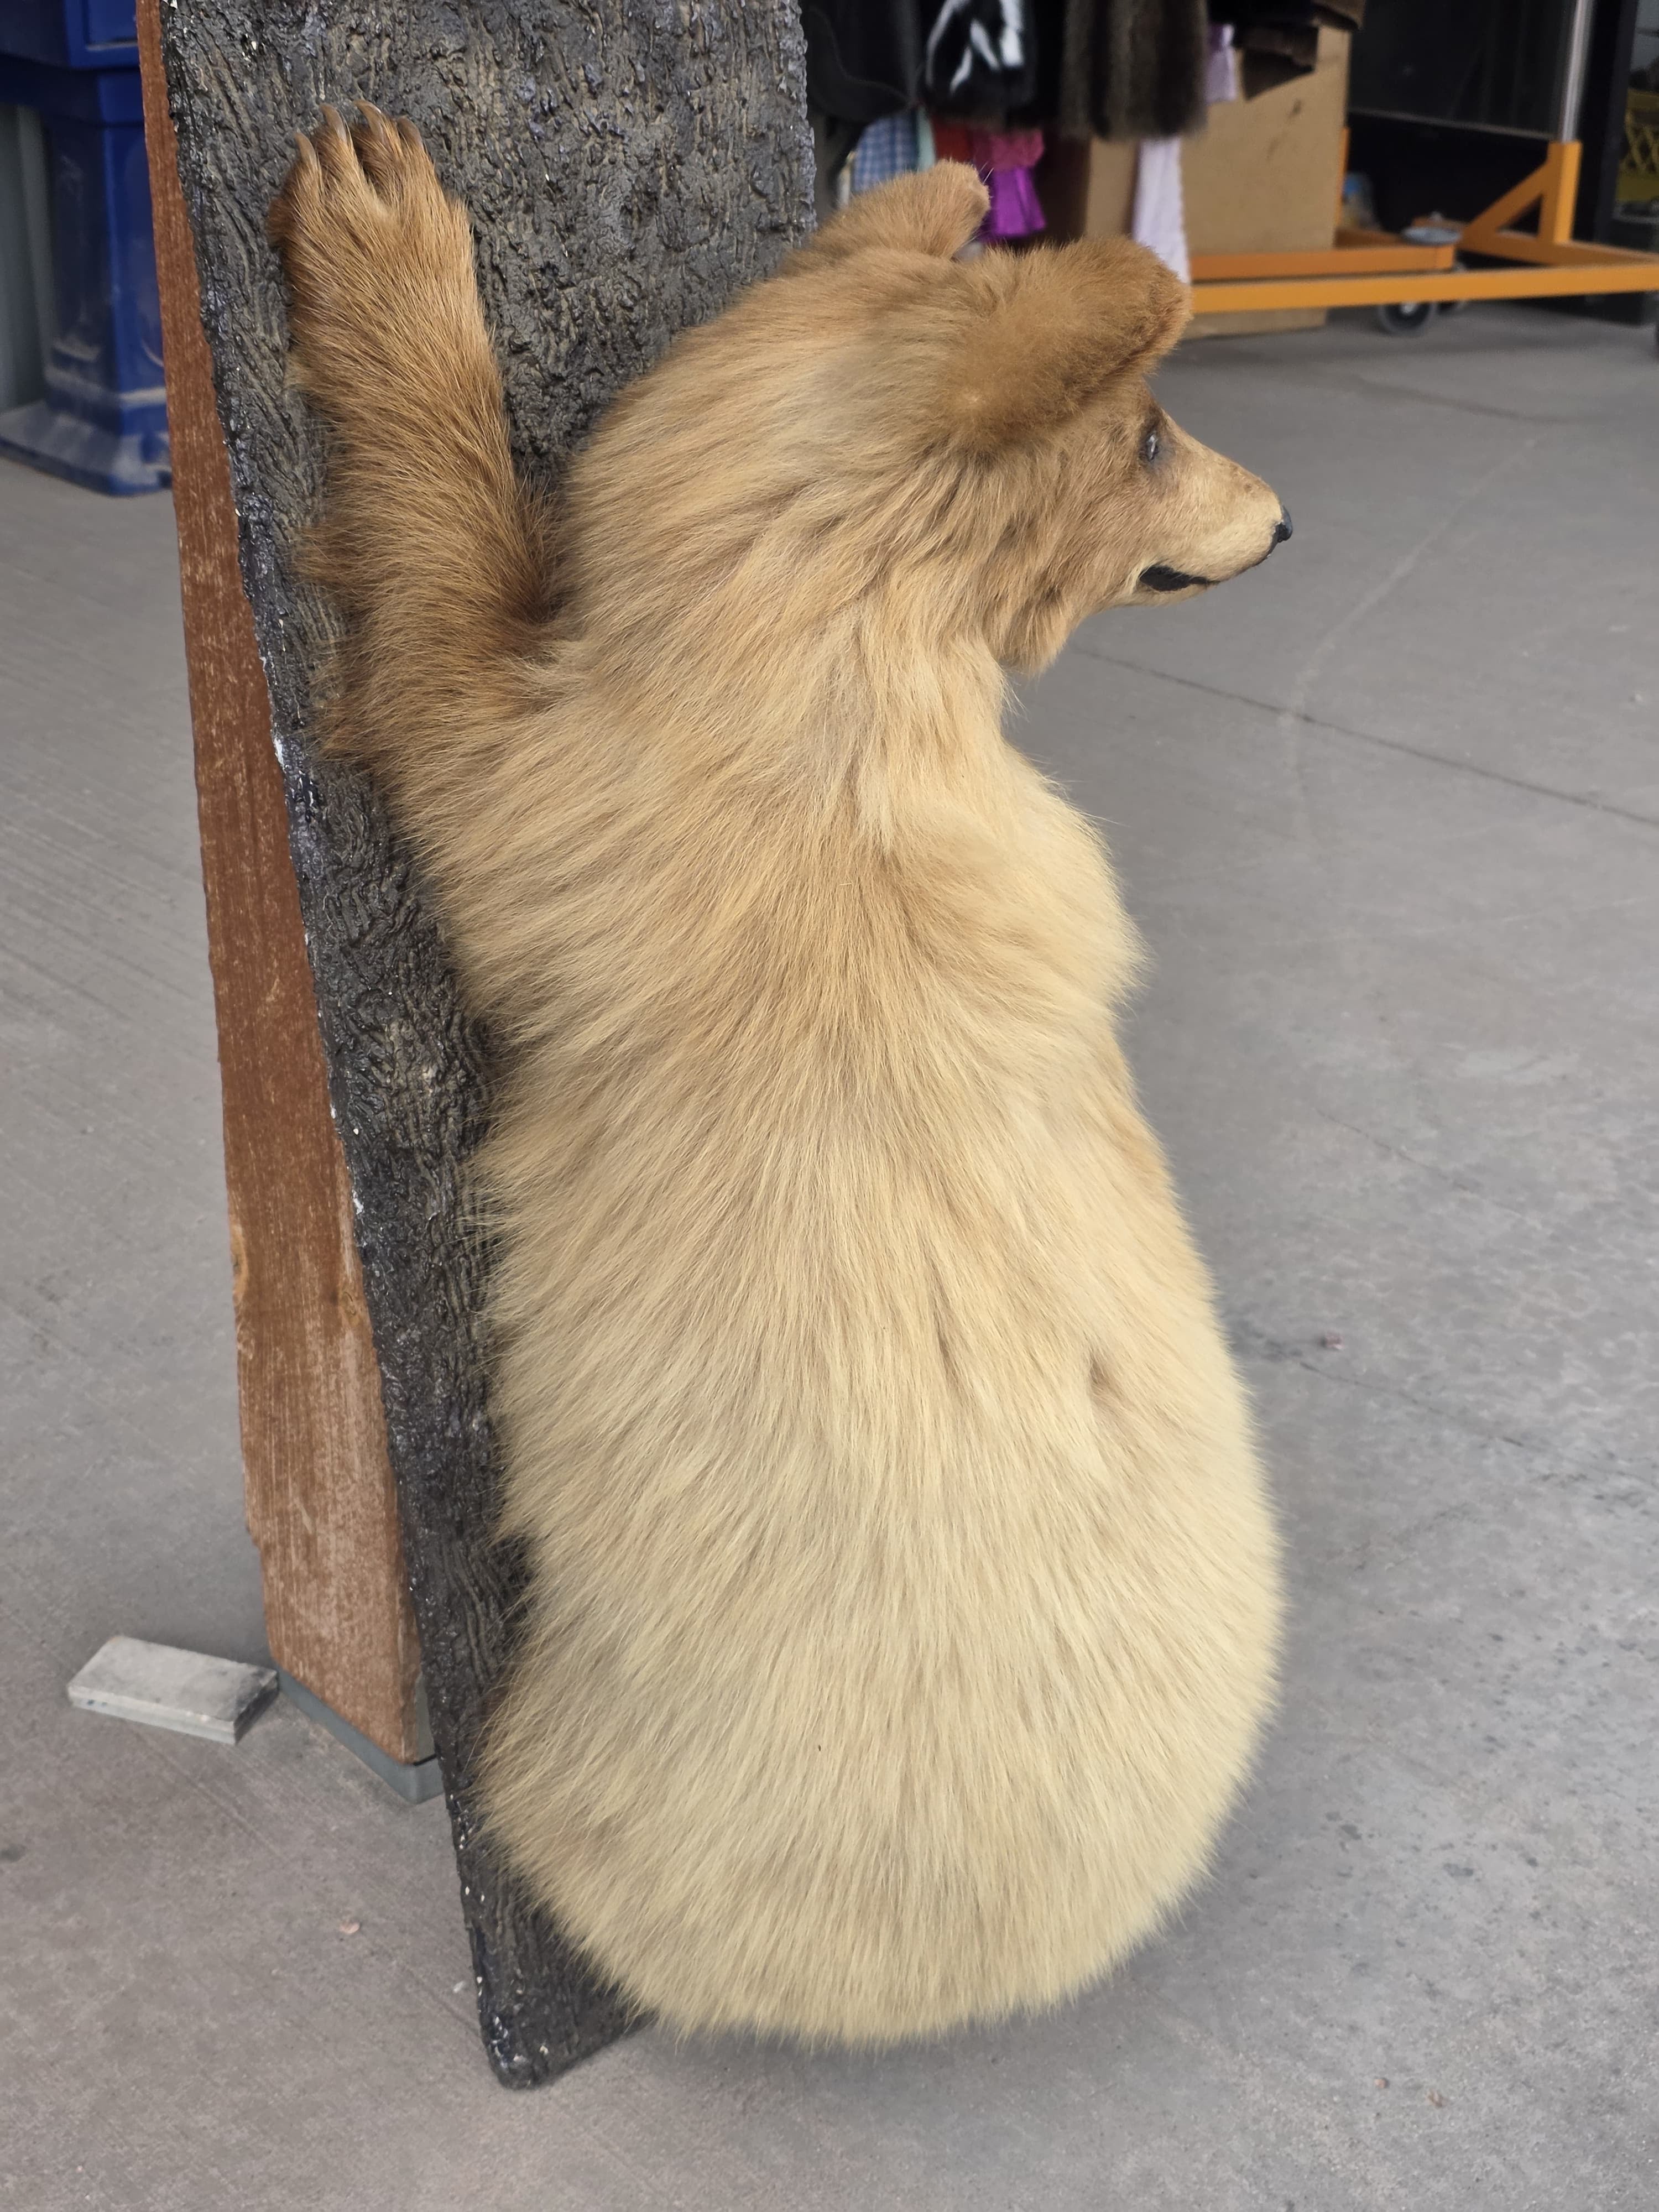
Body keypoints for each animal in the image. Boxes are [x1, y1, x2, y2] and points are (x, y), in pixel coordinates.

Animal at [270, 108, 1287, 2047]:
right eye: (1149, 434)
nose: (1281, 521)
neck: (850, 646)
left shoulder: (560, 802)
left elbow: (446, 634)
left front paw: (390, 257)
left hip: (584, 1775)